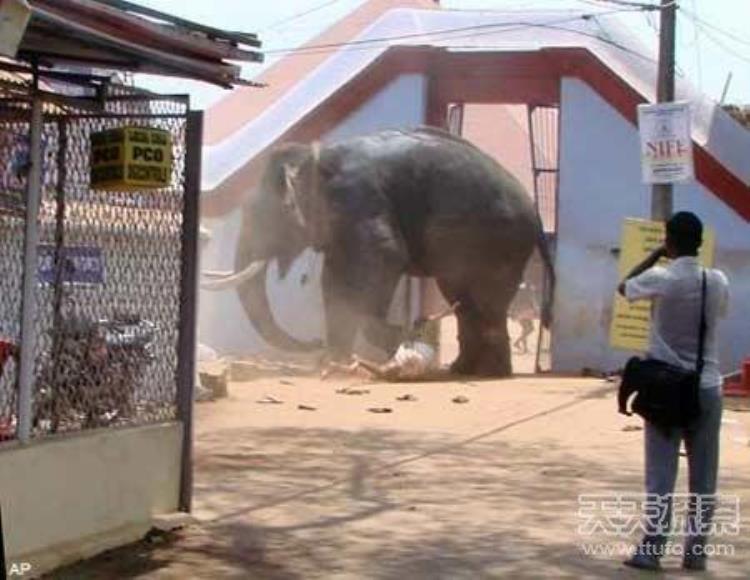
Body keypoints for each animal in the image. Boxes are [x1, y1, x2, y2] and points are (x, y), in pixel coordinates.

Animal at [209, 128, 556, 376]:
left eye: (261, 218)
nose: (313, 342)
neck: (314, 156)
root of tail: (537, 216)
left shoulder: (358, 198)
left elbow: (384, 257)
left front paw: (397, 338)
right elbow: (334, 278)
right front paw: (334, 362)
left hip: (498, 240)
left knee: (481, 300)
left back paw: (486, 373)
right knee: (462, 298)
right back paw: (464, 369)